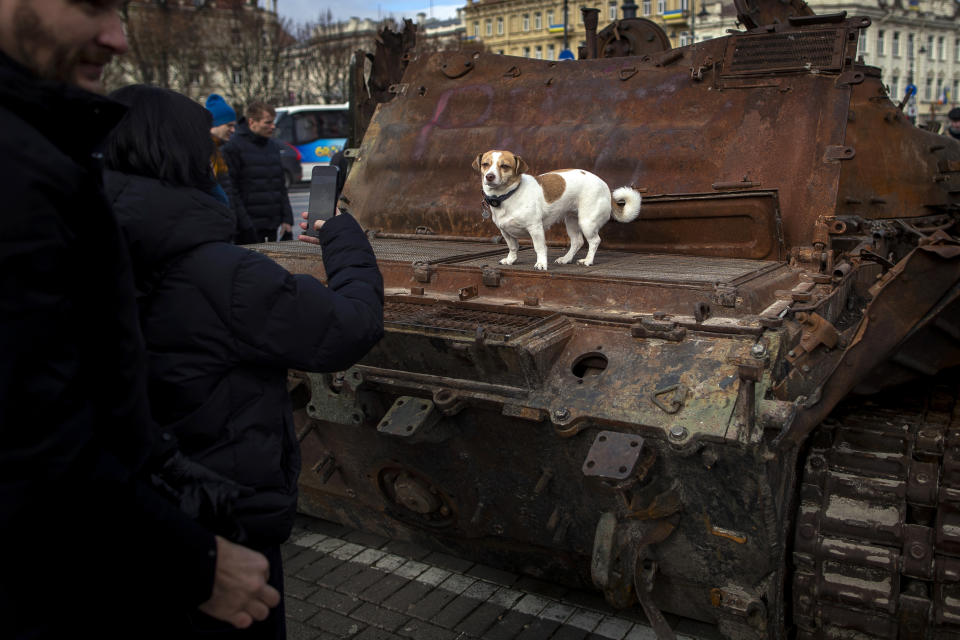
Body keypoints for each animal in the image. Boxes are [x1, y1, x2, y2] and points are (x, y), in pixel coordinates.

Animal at [474, 150, 644, 270]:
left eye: (504, 166)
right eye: (485, 164)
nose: (489, 176)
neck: (508, 196)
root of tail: (605, 185)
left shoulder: (535, 229)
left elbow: (539, 248)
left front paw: (541, 264)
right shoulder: (505, 231)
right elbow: (513, 247)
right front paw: (511, 260)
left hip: (587, 222)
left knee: (595, 241)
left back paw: (588, 261)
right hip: (571, 221)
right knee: (577, 241)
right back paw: (566, 259)